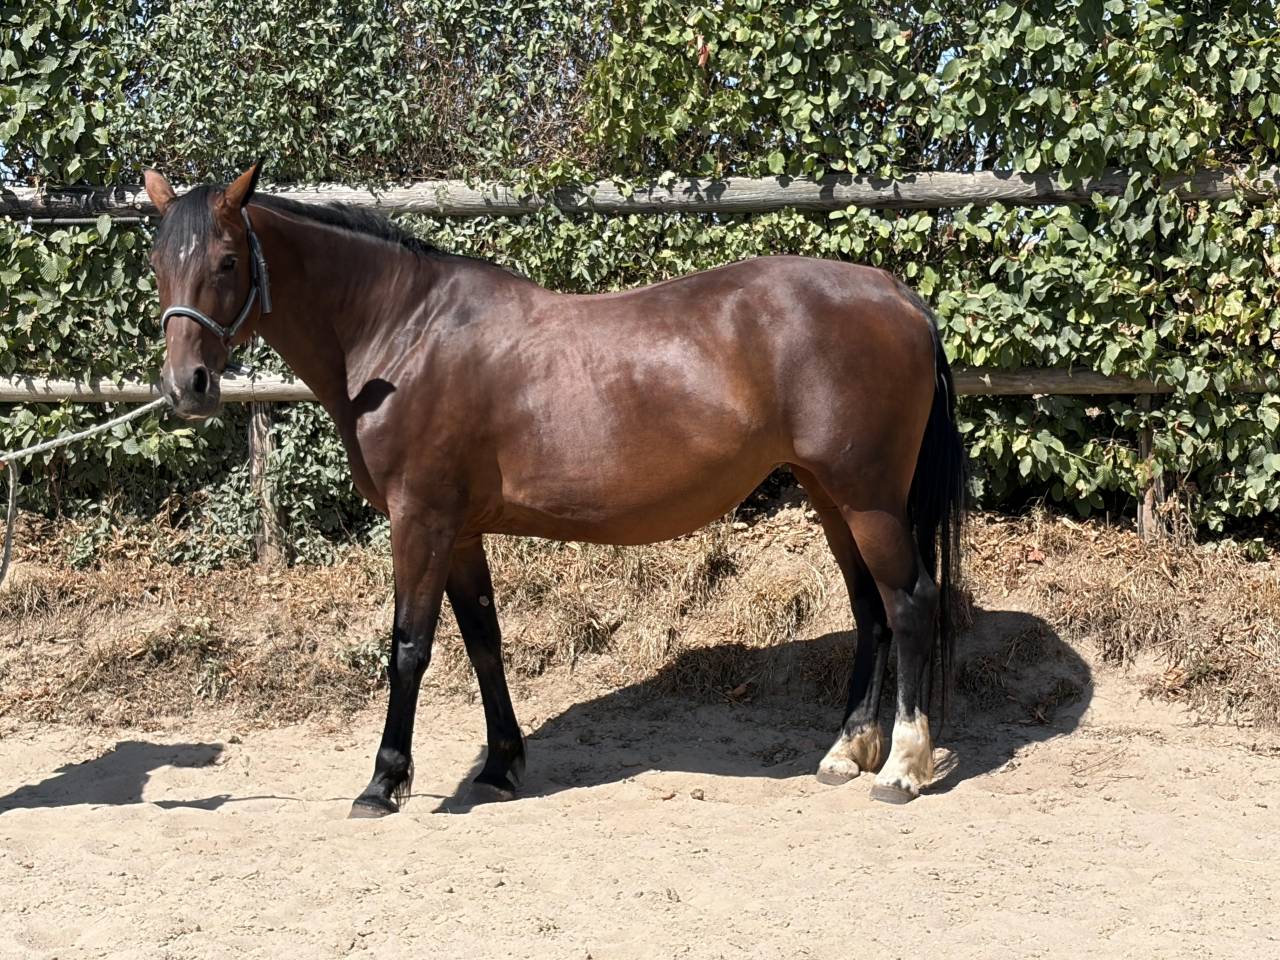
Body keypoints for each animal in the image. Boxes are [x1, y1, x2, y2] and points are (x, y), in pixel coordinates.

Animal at [142, 161, 965, 816]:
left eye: (226, 261)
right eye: (155, 261)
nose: (187, 386)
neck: (404, 333)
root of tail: (898, 295)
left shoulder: (421, 519)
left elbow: (409, 646)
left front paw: (384, 782)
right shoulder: (462, 529)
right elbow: (484, 642)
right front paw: (500, 767)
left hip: (868, 498)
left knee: (909, 604)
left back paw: (900, 768)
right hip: (832, 496)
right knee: (870, 611)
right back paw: (846, 750)